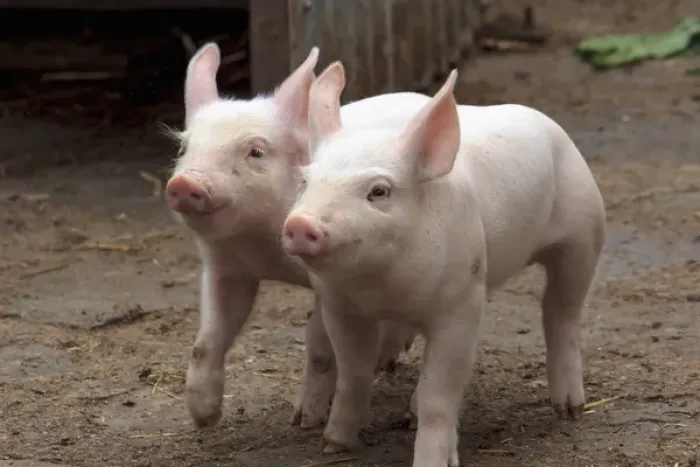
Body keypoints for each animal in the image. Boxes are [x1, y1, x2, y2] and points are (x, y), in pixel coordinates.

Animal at [164, 42, 425, 431]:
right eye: (184, 148)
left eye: (255, 151)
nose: (185, 182)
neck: (262, 248)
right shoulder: (225, 268)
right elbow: (207, 338)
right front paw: (203, 417)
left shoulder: (328, 279)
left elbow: (318, 345)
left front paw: (305, 420)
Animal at [280, 62, 605, 467]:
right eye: (305, 181)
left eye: (379, 191)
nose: (300, 224)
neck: (381, 288)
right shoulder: (341, 308)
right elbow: (353, 374)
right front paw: (333, 444)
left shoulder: (461, 305)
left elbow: (439, 393)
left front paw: (431, 462)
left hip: (585, 231)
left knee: (562, 312)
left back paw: (570, 409)